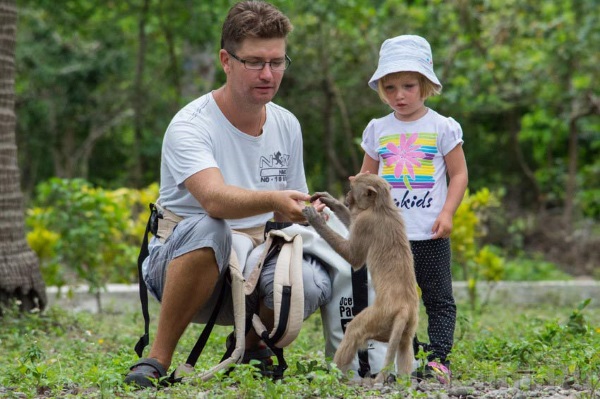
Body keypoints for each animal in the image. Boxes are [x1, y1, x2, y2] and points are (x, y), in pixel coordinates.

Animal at [302, 174, 420, 384]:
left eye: (352, 188)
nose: (347, 196)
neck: (382, 206)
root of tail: (404, 307)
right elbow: (351, 223)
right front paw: (330, 201)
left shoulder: (366, 222)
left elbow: (354, 257)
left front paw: (316, 219)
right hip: (409, 322)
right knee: (404, 344)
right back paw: (405, 383)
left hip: (380, 317)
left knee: (354, 330)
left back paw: (335, 377)